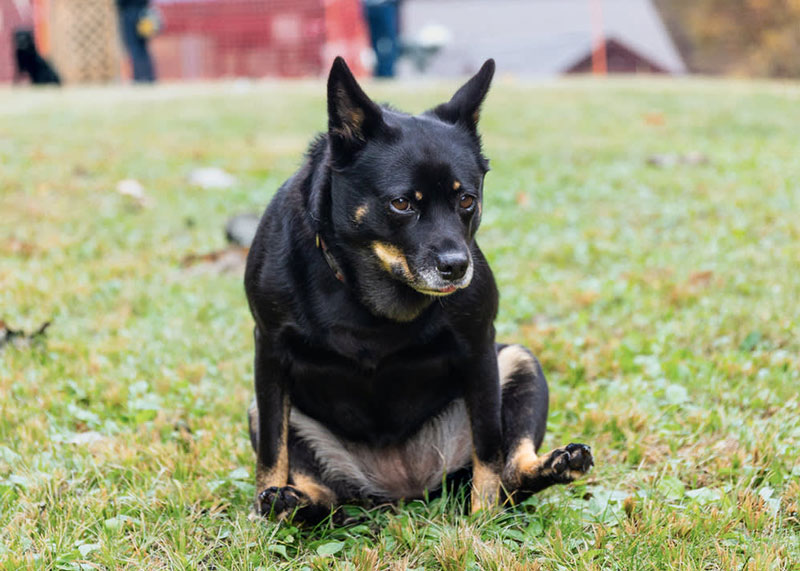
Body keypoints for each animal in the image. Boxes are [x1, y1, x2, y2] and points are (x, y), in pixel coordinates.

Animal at [245, 57, 592, 524]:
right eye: (402, 203)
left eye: (466, 200)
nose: (457, 266)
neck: (373, 286)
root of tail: (404, 489)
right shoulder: (269, 352)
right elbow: (272, 452)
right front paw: (261, 513)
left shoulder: (479, 349)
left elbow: (489, 450)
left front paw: (482, 521)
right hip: (264, 415)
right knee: (326, 495)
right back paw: (292, 504)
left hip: (520, 362)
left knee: (511, 472)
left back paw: (555, 466)